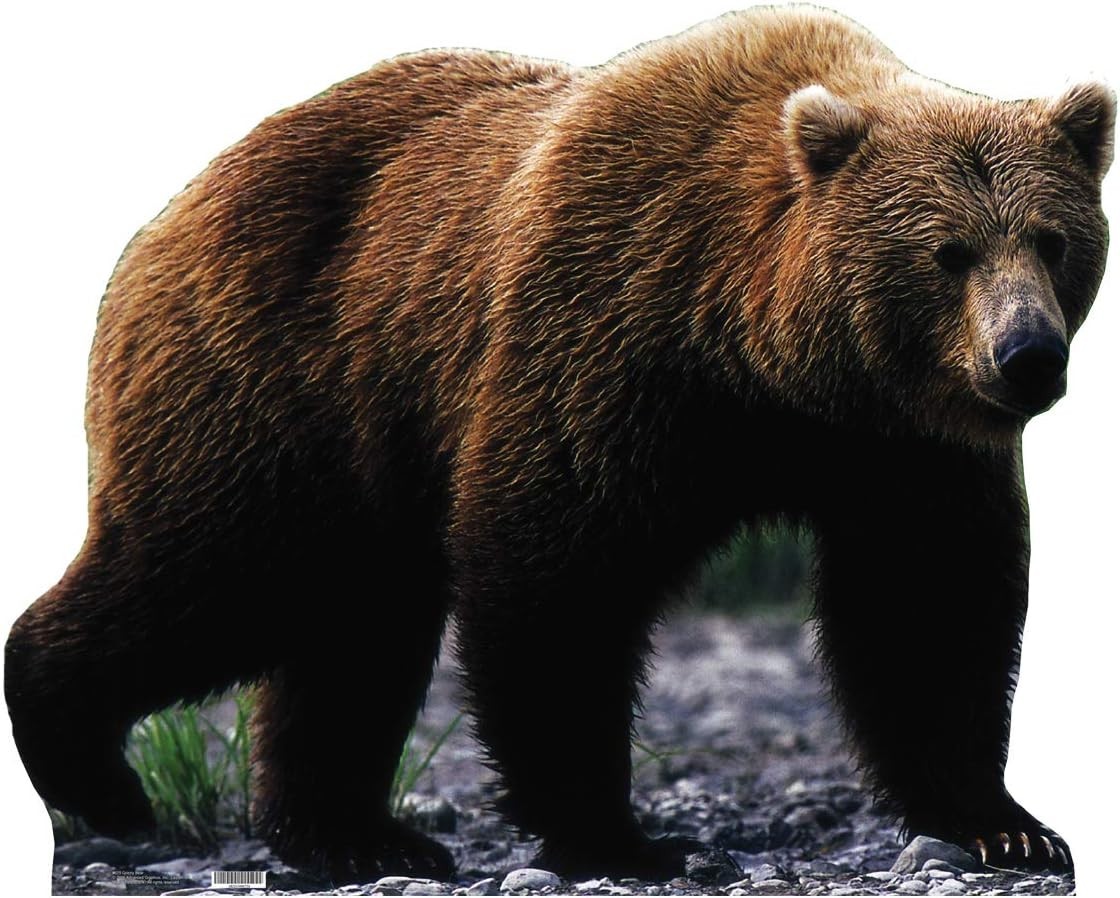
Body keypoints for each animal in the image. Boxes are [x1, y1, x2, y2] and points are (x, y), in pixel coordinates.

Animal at [4, 3, 1114, 884]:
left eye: (1052, 239)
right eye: (947, 251)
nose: (1027, 356)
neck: (767, 357)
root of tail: (167, 213)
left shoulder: (900, 446)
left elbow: (928, 608)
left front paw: (1006, 825)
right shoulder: (610, 334)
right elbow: (558, 572)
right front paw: (621, 835)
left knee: (354, 623)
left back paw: (353, 832)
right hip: (279, 374)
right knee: (213, 573)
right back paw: (94, 771)